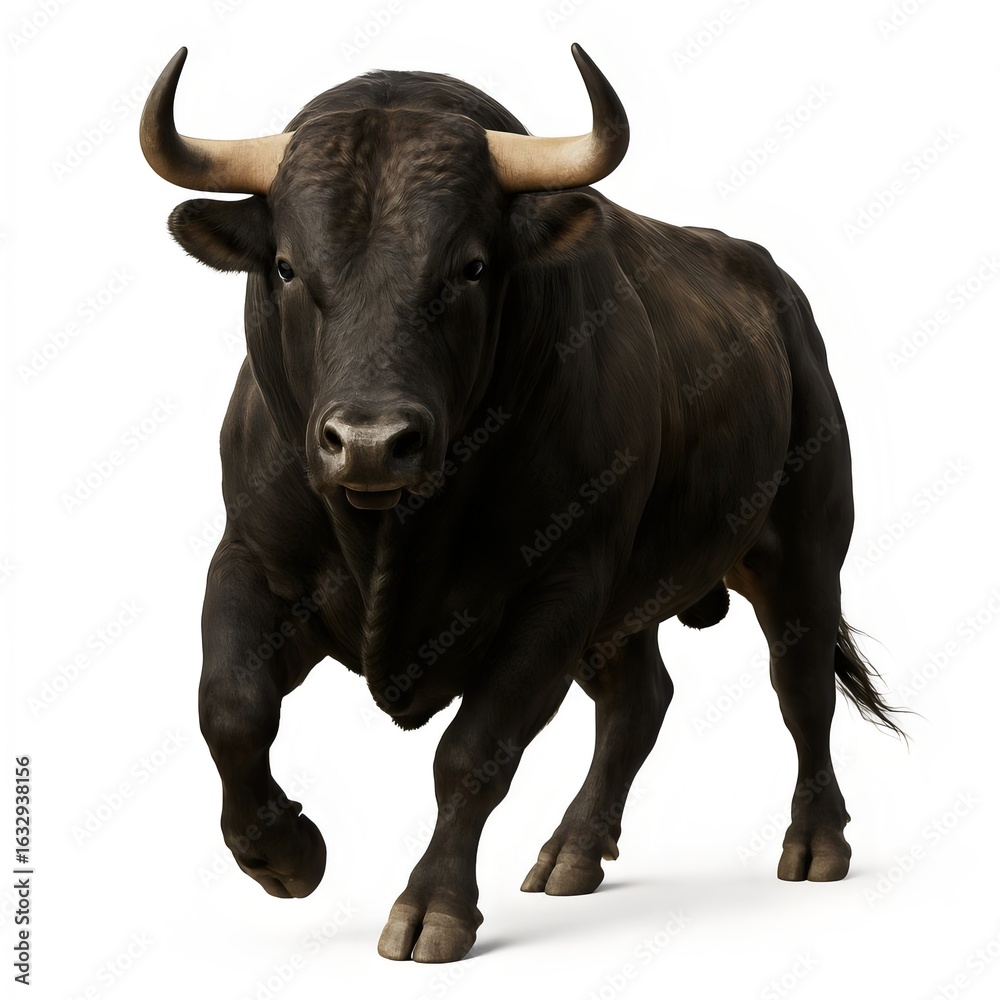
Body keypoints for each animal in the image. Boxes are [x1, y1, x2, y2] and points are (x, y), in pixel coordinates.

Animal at [140, 44, 904, 963]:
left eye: (471, 267)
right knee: (639, 700)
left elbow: (473, 751)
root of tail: (776, 291)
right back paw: (572, 851)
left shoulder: (559, 587)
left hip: (803, 551)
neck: (394, 534)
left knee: (802, 689)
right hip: (631, 602)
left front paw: (432, 908)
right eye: (287, 267)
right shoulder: (251, 561)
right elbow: (230, 708)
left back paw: (816, 842)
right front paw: (287, 854)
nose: (370, 440)